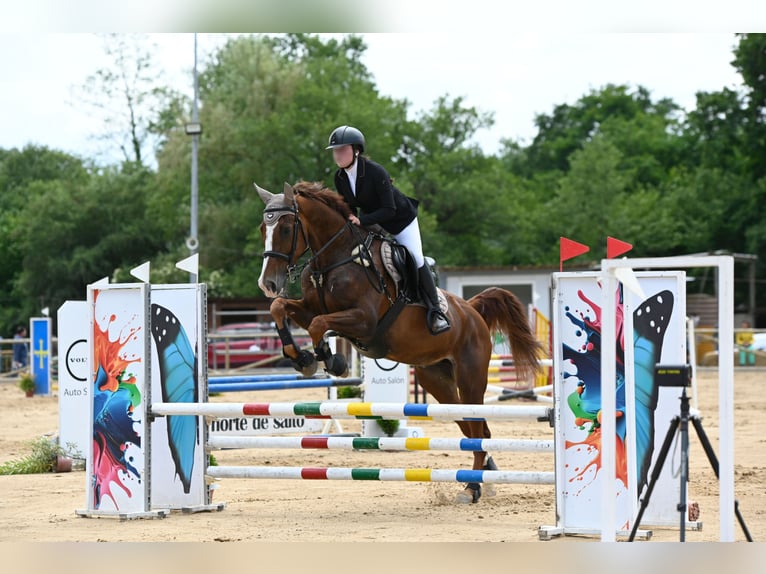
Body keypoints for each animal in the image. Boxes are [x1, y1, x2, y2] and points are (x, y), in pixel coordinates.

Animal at [255, 180, 544, 504]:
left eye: (285, 228)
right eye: (262, 228)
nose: (268, 283)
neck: (334, 259)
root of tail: (472, 310)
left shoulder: (364, 320)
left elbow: (319, 325)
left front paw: (332, 362)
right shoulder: (309, 309)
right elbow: (280, 308)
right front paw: (302, 358)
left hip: (471, 377)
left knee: (478, 426)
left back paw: (473, 487)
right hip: (437, 381)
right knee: (472, 428)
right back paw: (483, 479)